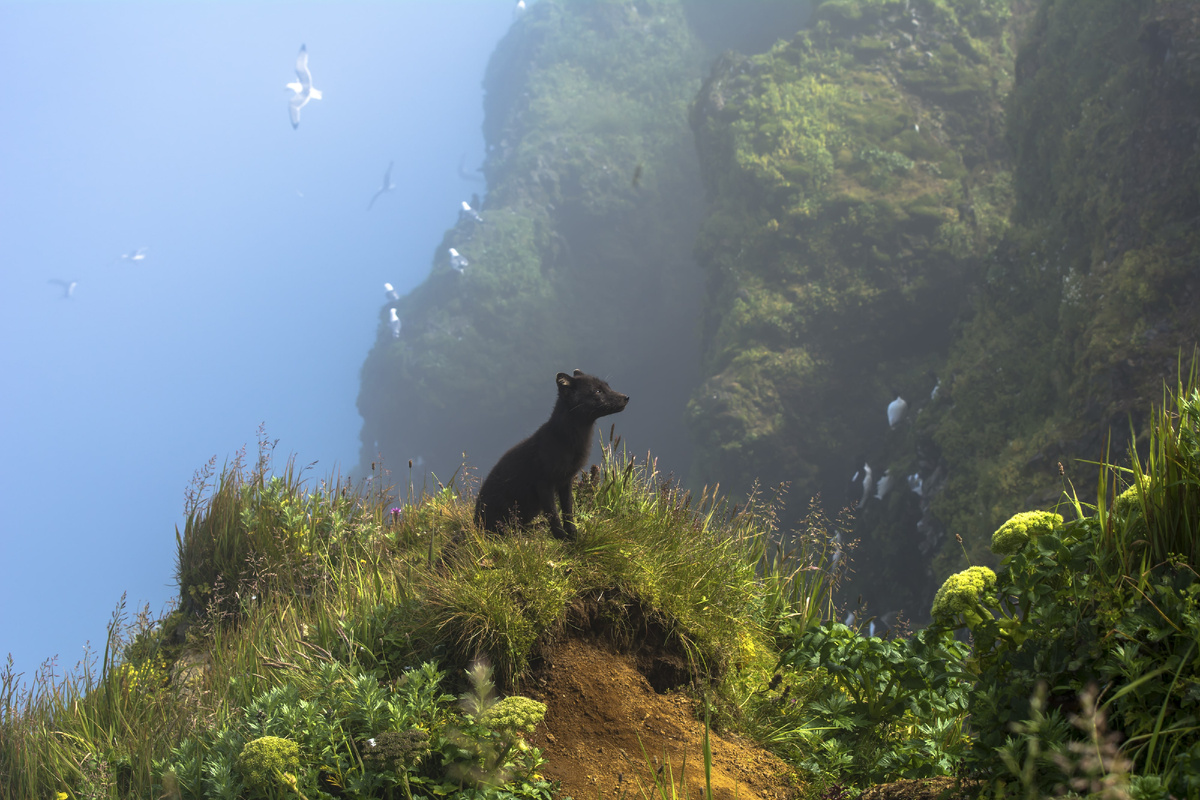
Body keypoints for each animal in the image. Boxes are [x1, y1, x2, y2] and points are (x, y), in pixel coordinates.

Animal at [475, 371, 633, 542]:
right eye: (598, 391)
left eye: (607, 386)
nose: (626, 397)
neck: (568, 442)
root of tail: (475, 523)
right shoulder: (544, 483)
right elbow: (554, 515)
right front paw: (562, 539)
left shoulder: (566, 480)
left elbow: (568, 511)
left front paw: (573, 535)